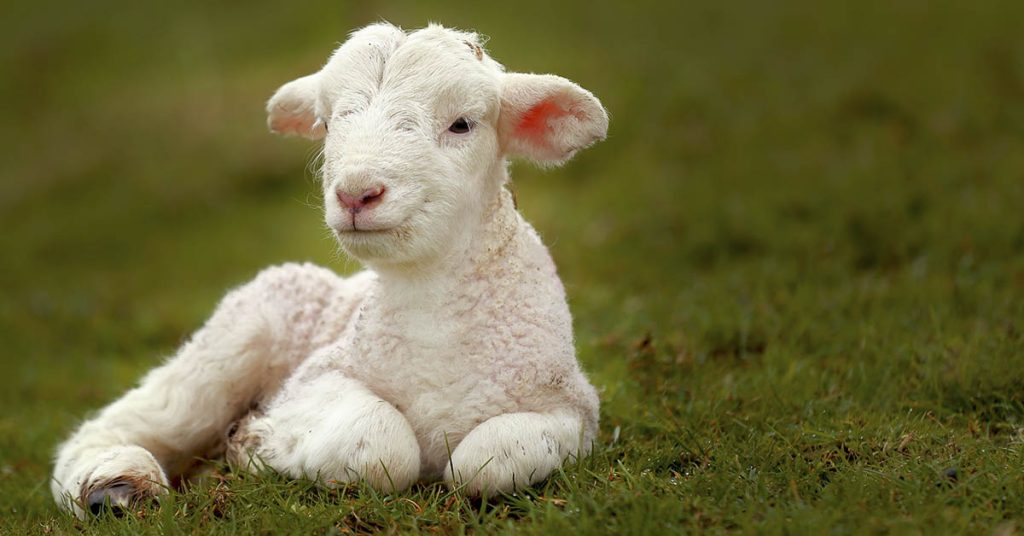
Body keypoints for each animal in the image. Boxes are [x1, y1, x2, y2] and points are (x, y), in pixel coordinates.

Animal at [51, 22, 608, 518]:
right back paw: (113, 486)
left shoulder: (571, 411)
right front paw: (256, 442)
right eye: (325, 123)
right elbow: (384, 442)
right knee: (127, 422)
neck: (432, 320)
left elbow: (488, 461)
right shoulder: (318, 377)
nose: (357, 193)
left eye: (462, 124)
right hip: (232, 342)